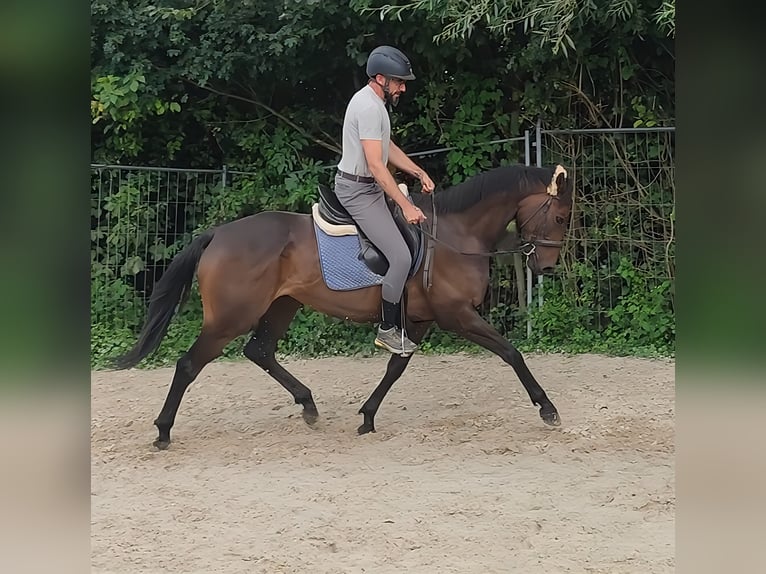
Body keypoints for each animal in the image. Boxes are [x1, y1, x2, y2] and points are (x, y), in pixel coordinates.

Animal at [111, 162, 572, 450]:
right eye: (562, 217)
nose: (546, 266)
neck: (456, 236)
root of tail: (218, 235)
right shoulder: (457, 316)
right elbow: (511, 353)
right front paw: (547, 408)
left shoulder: (419, 320)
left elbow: (395, 368)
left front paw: (367, 417)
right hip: (229, 318)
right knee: (190, 364)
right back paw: (163, 431)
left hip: (282, 306)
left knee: (259, 351)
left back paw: (308, 405)